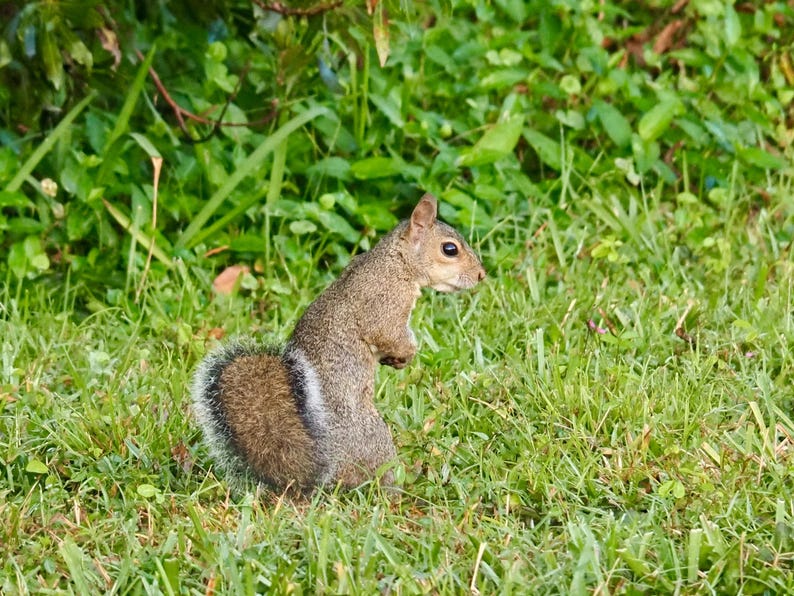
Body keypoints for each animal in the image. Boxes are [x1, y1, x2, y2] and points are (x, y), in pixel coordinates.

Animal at [191, 193, 486, 492]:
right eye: (449, 249)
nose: (481, 275)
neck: (396, 262)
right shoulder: (384, 304)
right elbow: (389, 334)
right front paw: (407, 354)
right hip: (374, 439)